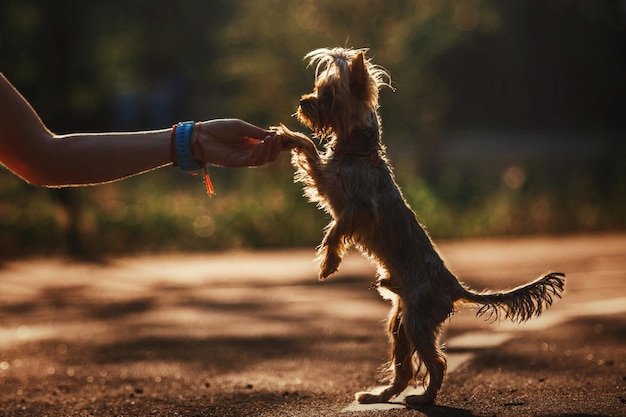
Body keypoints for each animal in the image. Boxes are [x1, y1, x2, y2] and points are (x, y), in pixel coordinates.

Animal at [276, 47, 564, 404]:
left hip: (417, 319)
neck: (358, 150)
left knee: (436, 362)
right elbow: (310, 151)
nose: (304, 102)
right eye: (317, 89)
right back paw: (380, 396)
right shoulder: (330, 185)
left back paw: (423, 398)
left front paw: (328, 265)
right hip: (399, 322)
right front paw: (288, 137)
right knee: (404, 366)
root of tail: (454, 287)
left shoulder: (354, 207)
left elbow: (334, 231)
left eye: (328, 95)